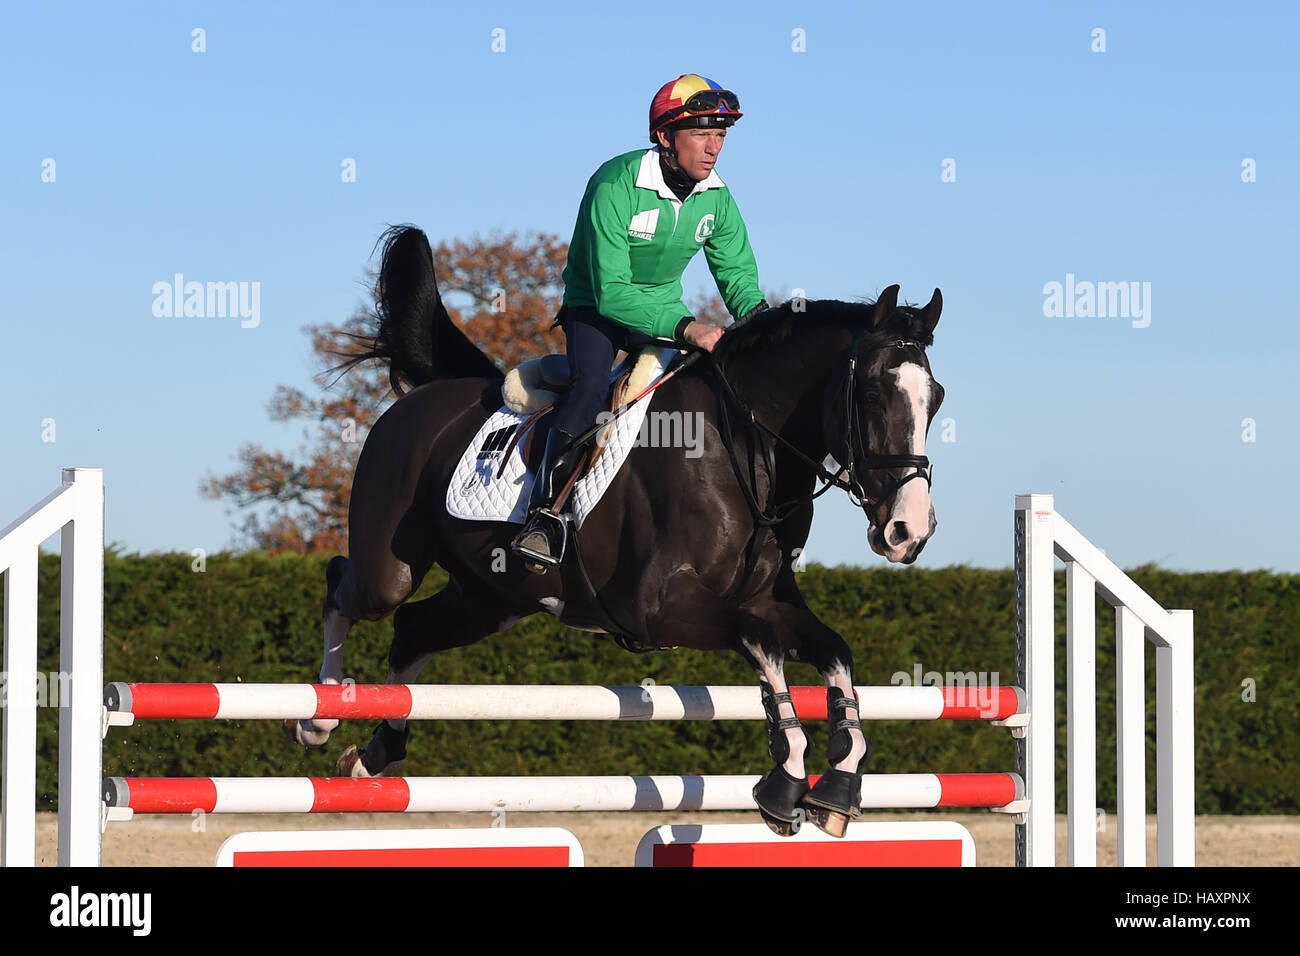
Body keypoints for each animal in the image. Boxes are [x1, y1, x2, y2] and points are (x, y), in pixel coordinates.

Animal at [289, 226, 946, 837]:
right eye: (872, 395)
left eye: (935, 398)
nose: (907, 531)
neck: (745, 450)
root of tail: (424, 398)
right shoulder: (659, 609)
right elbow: (762, 644)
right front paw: (785, 780)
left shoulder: (767, 597)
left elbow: (833, 650)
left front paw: (838, 783)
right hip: (393, 564)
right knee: (347, 586)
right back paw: (319, 718)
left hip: (491, 598)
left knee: (411, 630)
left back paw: (373, 758)